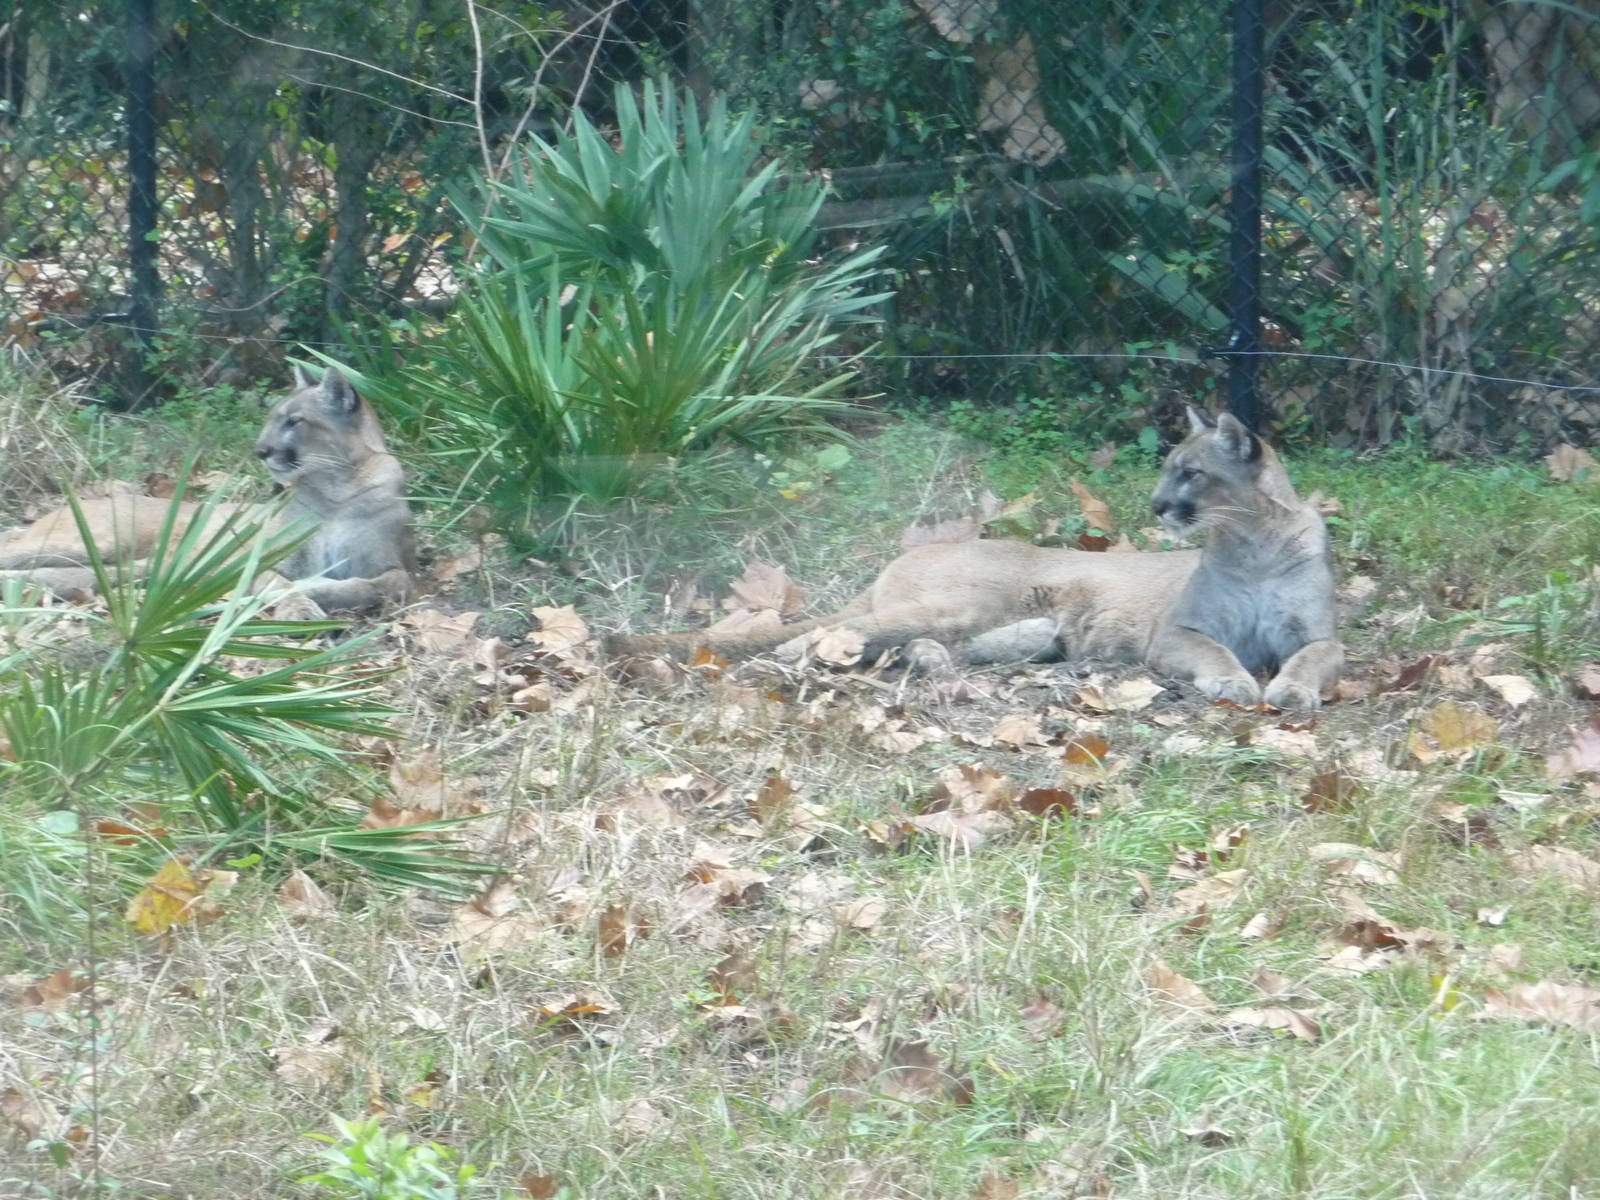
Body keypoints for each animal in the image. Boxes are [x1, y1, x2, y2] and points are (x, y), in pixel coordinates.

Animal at [0, 366, 416, 616]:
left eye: (294, 421)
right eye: (271, 419)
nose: (260, 450)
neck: (336, 490)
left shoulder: (394, 567)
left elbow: (383, 586)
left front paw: (320, 590)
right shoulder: (256, 560)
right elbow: (282, 583)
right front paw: (300, 606)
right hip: (98, 539)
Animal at [607, 407, 1343, 709]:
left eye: (1190, 472)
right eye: (1167, 469)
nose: (1157, 504)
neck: (1252, 546)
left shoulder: (1318, 634)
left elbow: (1312, 658)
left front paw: (1292, 689)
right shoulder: (1179, 632)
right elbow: (1216, 652)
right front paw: (1237, 683)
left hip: (1016, 628)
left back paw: (928, 663)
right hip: (959, 605)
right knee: (840, 629)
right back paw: (797, 654)